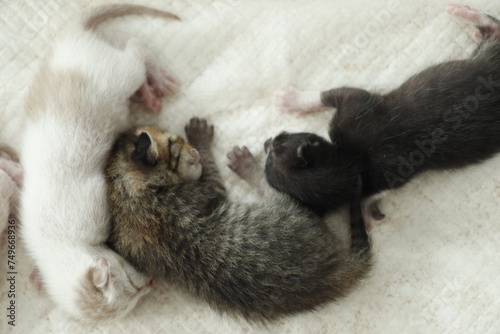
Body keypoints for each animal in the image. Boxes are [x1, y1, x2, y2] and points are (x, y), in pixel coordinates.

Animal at [20, 3, 180, 322]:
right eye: (135, 297)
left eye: (131, 281)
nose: (151, 283)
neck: (60, 246)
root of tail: (71, 37)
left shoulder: (91, 204)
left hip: (113, 72)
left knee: (135, 48)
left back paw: (153, 81)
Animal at [105, 118, 372, 324]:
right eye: (174, 145)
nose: (194, 151)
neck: (126, 191)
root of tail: (335, 274)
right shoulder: (200, 193)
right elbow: (212, 178)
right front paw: (201, 137)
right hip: (291, 209)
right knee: (269, 187)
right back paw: (247, 165)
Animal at [270, 5, 500, 222]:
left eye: (278, 142)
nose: (267, 141)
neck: (354, 155)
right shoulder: (386, 177)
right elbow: (372, 195)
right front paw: (367, 213)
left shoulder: (355, 106)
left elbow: (333, 94)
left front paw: (291, 100)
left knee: (494, 27)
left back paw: (465, 13)